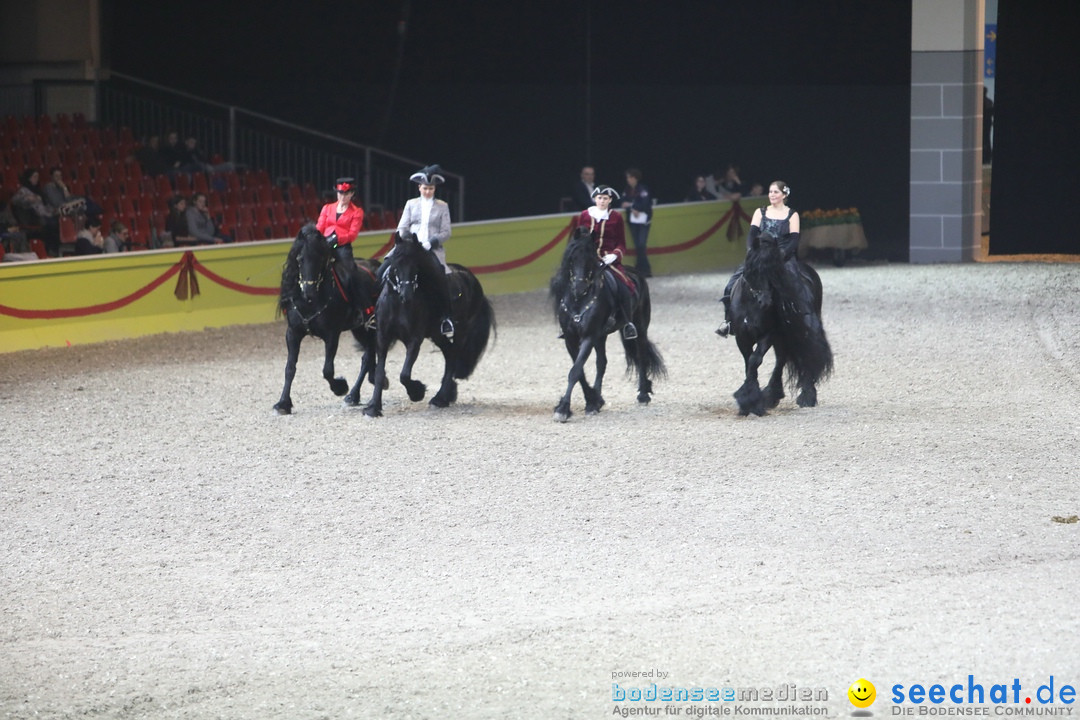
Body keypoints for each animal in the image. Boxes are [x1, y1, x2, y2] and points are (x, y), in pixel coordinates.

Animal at [272, 225, 382, 416]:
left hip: (370, 327)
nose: (308, 292)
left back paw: (353, 394)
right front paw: (283, 404)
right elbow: (290, 368)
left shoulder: (332, 335)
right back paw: (354, 395)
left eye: (321, 258)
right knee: (367, 356)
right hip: (359, 329)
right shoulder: (293, 333)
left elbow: (327, 370)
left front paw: (340, 387)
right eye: (299, 258)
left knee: (367, 357)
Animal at [362, 232, 496, 416]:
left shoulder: (414, 339)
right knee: (449, 354)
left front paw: (416, 392)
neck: (397, 303)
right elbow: (380, 372)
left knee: (453, 356)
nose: (406, 295)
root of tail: (471, 278)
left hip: (461, 331)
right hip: (436, 334)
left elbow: (404, 374)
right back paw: (446, 395)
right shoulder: (382, 337)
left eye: (416, 266)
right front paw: (373, 407)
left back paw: (441, 398)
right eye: (395, 265)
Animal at [548, 225, 665, 423]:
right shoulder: (571, 339)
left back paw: (643, 395)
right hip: (601, 336)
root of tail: (636, 274)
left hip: (640, 327)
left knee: (641, 356)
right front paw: (591, 400)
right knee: (601, 362)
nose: (579, 288)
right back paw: (599, 398)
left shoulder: (588, 336)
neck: (578, 300)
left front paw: (563, 409)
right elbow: (579, 371)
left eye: (591, 258)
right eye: (572, 257)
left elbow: (575, 371)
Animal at [725, 231, 833, 416]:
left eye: (774, 272)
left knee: (791, 356)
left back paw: (800, 396)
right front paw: (748, 398)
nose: (765, 302)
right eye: (754, 269)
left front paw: (750, 400)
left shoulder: (769, 334)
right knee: (783, 357)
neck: (751, 305)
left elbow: (755, 360)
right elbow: (748, 361)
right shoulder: (741, 336)